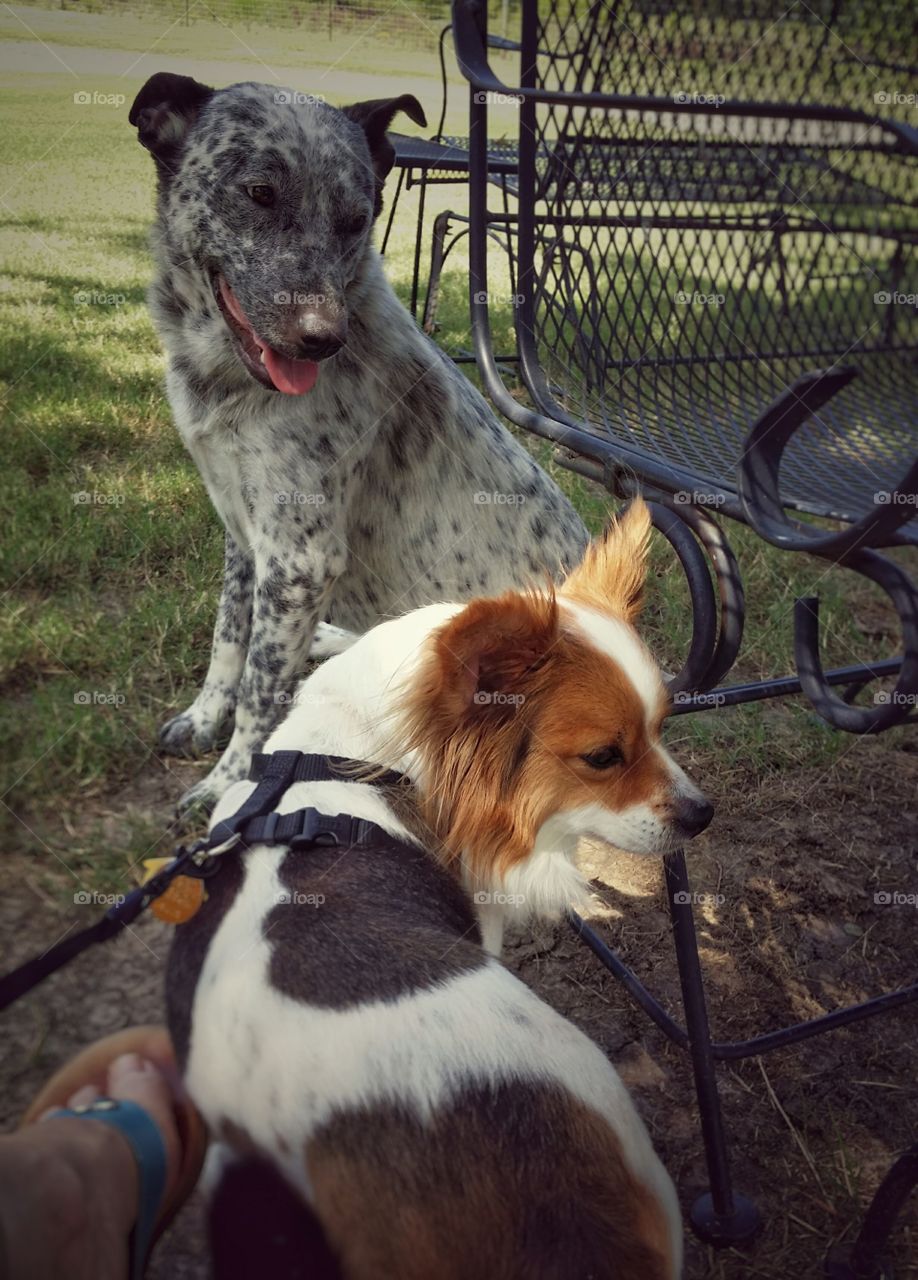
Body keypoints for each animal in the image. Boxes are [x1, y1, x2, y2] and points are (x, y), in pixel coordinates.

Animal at [128, 72, 586, 808]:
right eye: (259, 193)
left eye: (355, 219)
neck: (224, 382)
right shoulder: (245, 539)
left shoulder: (300, 558)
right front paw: (201, 721)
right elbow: (228, 646)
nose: (323, 339)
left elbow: (259, 695)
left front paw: (228, 786)